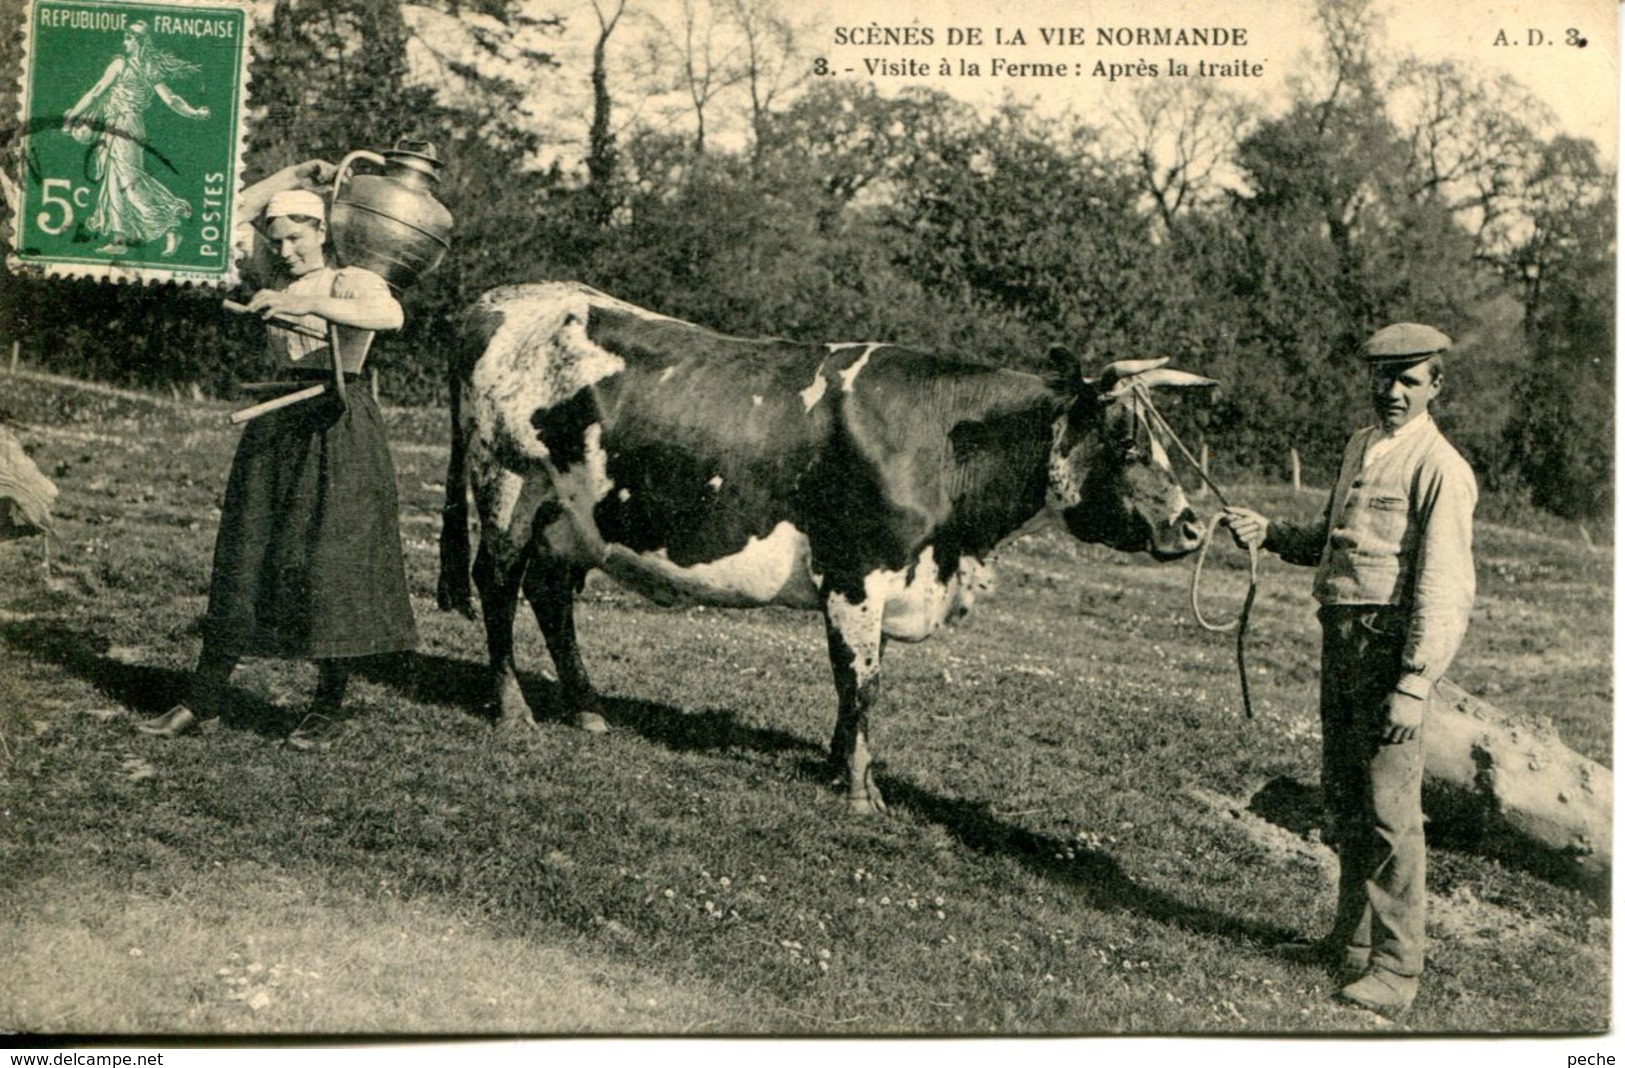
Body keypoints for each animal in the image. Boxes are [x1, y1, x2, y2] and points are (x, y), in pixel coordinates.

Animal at [438, 279, 1215, 812]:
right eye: (1124, 439)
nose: (1190, 525)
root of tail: (493, 302)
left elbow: (856, 682)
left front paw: (839, 767)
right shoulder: (857, 569)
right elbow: (859, 679)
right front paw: (861, 791)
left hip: (572, 517)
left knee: (551, 596)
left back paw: (589, 709)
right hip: (509, 480)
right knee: (497, 582)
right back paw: (513, 710)